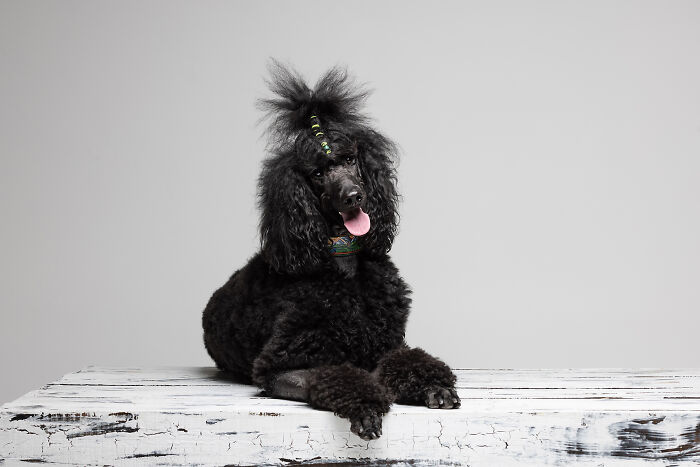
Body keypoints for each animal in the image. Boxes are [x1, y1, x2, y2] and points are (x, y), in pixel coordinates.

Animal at [202, 62, 460, 440]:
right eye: (318, 173)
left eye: (350, 159)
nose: (353, 196)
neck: (345, 267)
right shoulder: (278, 366)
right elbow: (336, 376)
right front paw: (366, 405)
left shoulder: (387, 345)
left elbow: (404, 361)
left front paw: (433, 386)